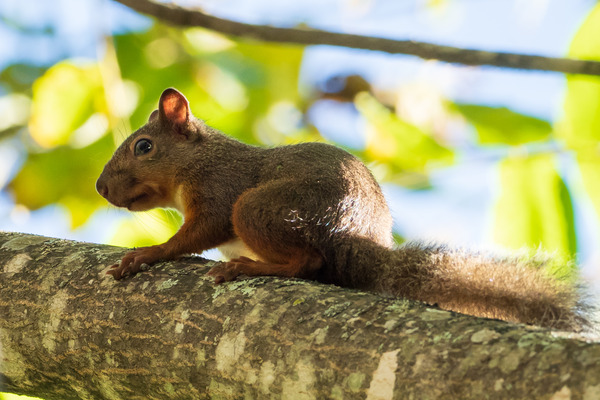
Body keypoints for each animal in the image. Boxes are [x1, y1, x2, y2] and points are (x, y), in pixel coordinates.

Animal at [97, 87, 592, 332]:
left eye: (144, 146)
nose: (101, 188)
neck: (201, 159)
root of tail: (358, 242)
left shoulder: (221, 190)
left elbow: (197, 233)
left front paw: (146, 254)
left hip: (258, 208)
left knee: (309, 261)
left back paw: (249, 266)